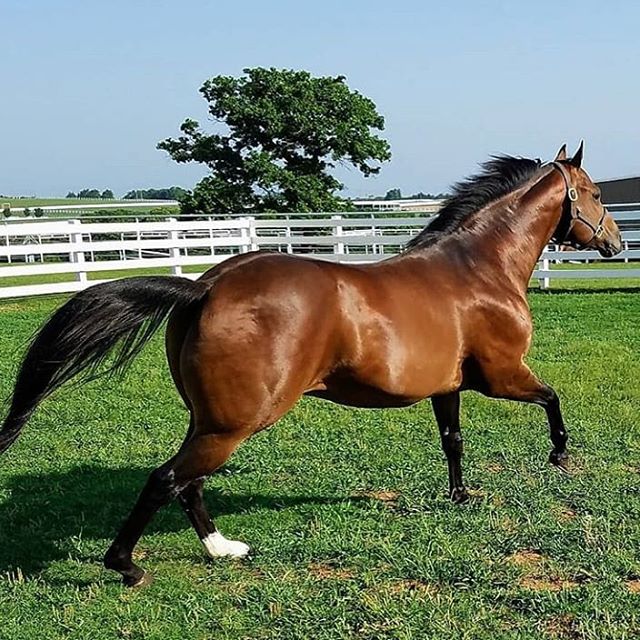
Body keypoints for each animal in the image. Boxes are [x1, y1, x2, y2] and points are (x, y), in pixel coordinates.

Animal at [0, 144, 620, 584]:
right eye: (592, 193)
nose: (616, 243)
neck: (477, 268)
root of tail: (205, 287)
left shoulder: (449, 385)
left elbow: (453, 441)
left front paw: (461, 496)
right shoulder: (503, 375)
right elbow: (553, 398)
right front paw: (561, 456)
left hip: (211, 419)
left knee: (188, 482)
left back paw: (222, 549)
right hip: (236, 422)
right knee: (167, 479)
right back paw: (127, 566)